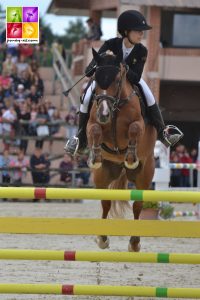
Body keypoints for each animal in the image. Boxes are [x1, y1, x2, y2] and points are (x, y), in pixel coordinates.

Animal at [86, 48, 157, 251]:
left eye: (117, 80)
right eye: (95, 79)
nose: (104, 114)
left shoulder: (139, 125)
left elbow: (134, 128)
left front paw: (131, 157)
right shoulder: (92, 124)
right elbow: (94, 130)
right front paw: (95, 156)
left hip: (144, 174)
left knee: (138, 205)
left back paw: (134, 242)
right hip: (103, 175)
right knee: (106, 202)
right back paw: (102, 238)